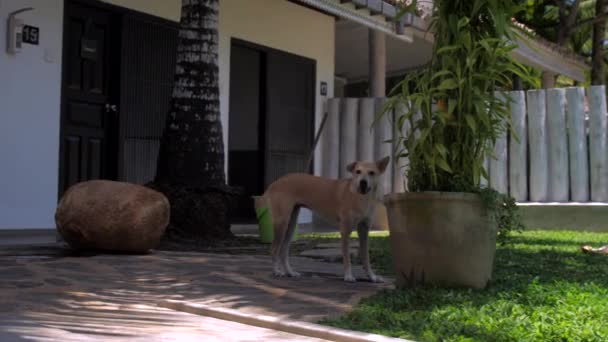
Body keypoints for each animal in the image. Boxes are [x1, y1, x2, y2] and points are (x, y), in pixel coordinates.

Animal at [255, 156, 390, 282]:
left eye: (371, 172)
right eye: (358, 171)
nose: (363, 182)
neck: (360, 197)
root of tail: (276, 182)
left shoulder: (364, 230)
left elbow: (366, 257)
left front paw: (372, 277)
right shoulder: (345, 230)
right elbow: (347, 257)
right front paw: (348, 276)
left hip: (291, 225)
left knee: (283, 251)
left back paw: (290, 272)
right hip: (281, 223)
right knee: (274, 249)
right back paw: (276, 271)